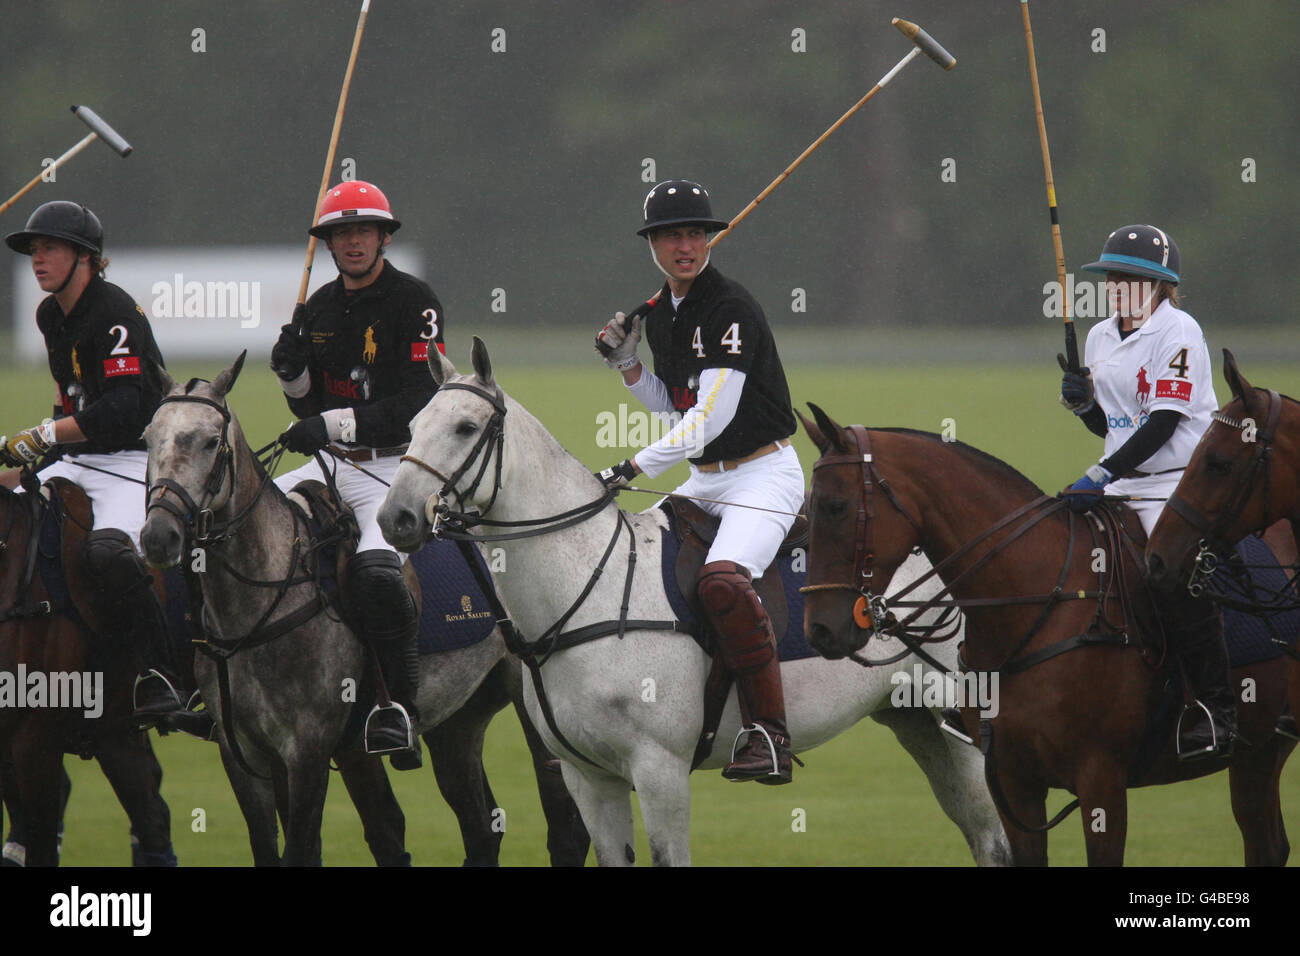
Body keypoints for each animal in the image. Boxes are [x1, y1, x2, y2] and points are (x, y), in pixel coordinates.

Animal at [377, 338, 1003, 868]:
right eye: (411, 427)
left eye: (466, 427)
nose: (396, 519)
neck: (586, 591)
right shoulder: (589, 776)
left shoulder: (660, 769)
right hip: (917, 722)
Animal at [795, 403, 1294, 868]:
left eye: (835, 507)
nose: (820, 629)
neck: (1036, 604)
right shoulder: (1014, 782)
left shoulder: (1101, 781)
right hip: (1259, 753)